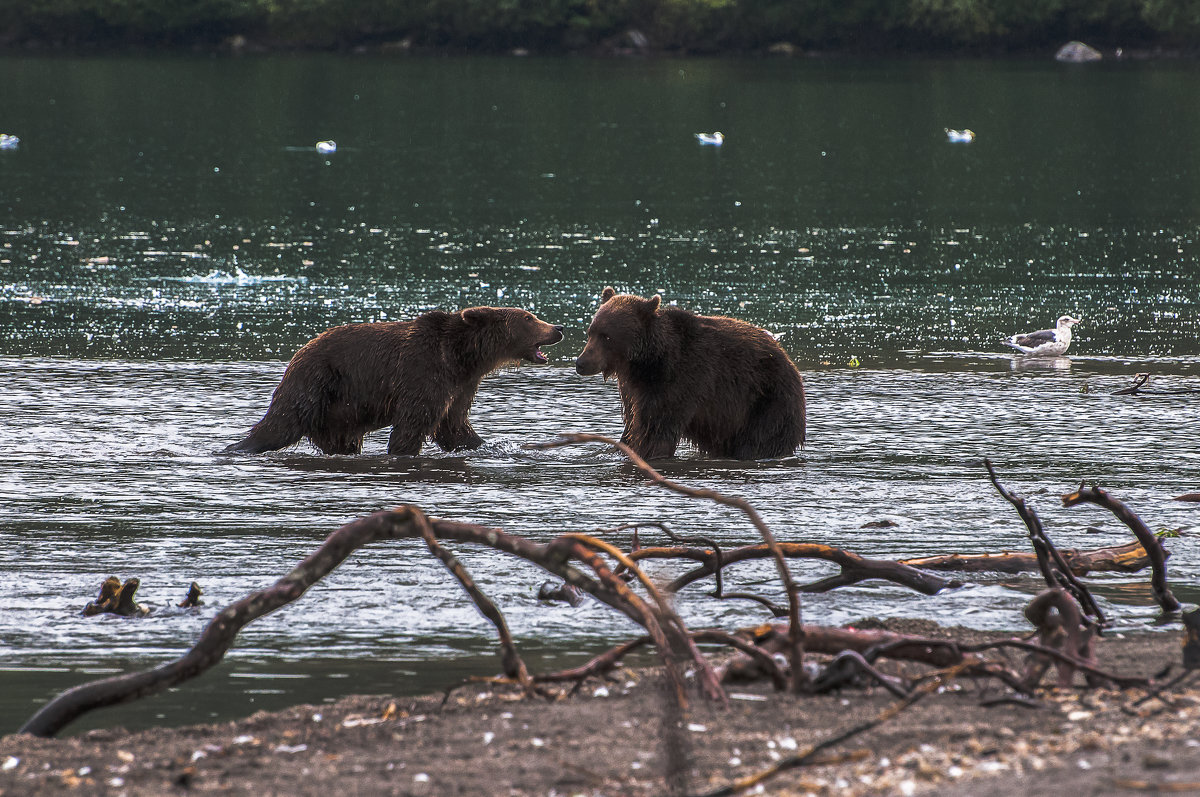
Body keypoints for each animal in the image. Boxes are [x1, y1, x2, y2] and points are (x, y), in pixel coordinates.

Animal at [226, 304, 564, 453]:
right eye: (528, 318)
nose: (558, 328)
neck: (462, 358)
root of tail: (298, 352)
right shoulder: (424, 372)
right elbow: (414, 423)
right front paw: (403, 449)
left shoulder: (460, 387)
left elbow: (454, 426)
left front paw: (490, 444)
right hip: (317, 381)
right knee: (281, 423)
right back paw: (237, 447)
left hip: (339, 413)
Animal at [573, 288, 806, 460]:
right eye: (591, 332)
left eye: (607, 336)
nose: (581, 363)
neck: (644, 363)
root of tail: (790, 363)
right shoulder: (633, 389)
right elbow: (632, 424)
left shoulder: (679, 380)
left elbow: (656, 429)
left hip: (767, 401)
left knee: (759, 440)